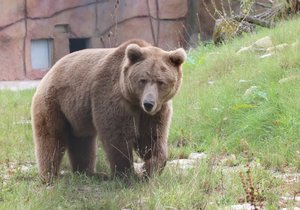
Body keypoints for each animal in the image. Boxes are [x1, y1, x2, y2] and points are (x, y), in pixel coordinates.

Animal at [30, 39, 185, 182]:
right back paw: (50, 176)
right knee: (51, 138)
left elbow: (152, 137)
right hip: (54, 103)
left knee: (82, 141)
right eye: (142, 80)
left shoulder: (157, 110)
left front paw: (149, 169)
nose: (148, 103)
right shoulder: (111, 97)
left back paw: (87, 173)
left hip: (77, 114)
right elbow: (118, 136)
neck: (134, 101)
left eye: (161, 82)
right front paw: (127, 174)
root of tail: (49, 72)